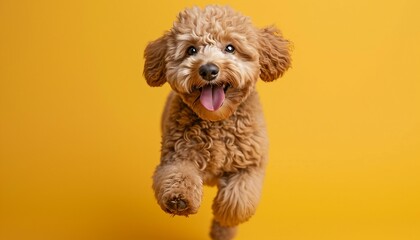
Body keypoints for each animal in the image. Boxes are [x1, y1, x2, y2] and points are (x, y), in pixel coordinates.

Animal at [143, 5, 290, 240]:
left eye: (230, 48)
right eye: (191, 50)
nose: (208, 70)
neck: (217, 121)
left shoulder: (250, 166)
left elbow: (238, 201)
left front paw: (225, 215)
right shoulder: (177, 156)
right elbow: (178, 175)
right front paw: (179, 199)